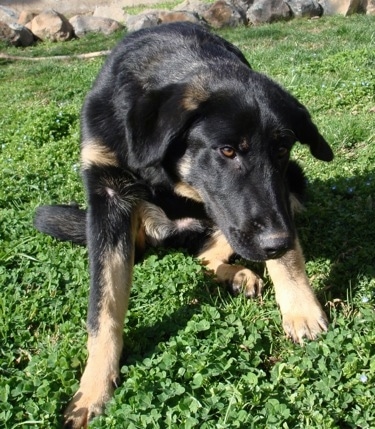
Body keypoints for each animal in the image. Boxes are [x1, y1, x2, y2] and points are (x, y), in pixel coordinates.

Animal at [34, 22, 334, 428]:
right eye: (227, 150)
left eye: (282, 148)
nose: (279, 242)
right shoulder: (106, 194)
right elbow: (104, 308)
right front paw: (93, 389)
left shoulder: (279, 190)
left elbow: (282, 258)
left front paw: (300, 309)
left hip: (291, 184)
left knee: (207, 252)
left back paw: (238, 274)